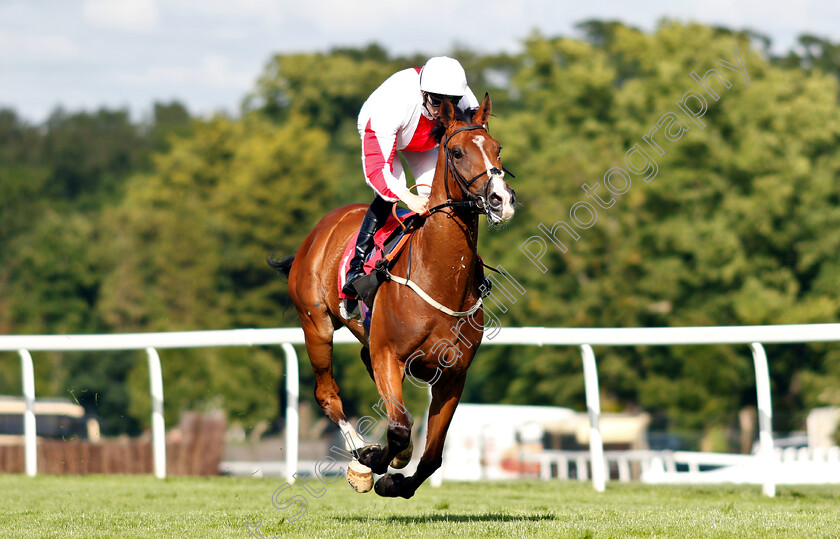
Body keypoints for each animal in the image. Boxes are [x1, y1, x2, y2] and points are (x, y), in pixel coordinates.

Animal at [272, 94, 516, 498]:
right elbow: (399, 428)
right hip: (316, 325)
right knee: (327, 394)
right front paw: (371, 462)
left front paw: (394, 478)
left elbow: (431, 454)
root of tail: (320, 229)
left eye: (497, 149)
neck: (441, 278)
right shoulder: (389, 355)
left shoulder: (453, 374)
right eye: (457, 152)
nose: (501, 200)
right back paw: (359, 454)